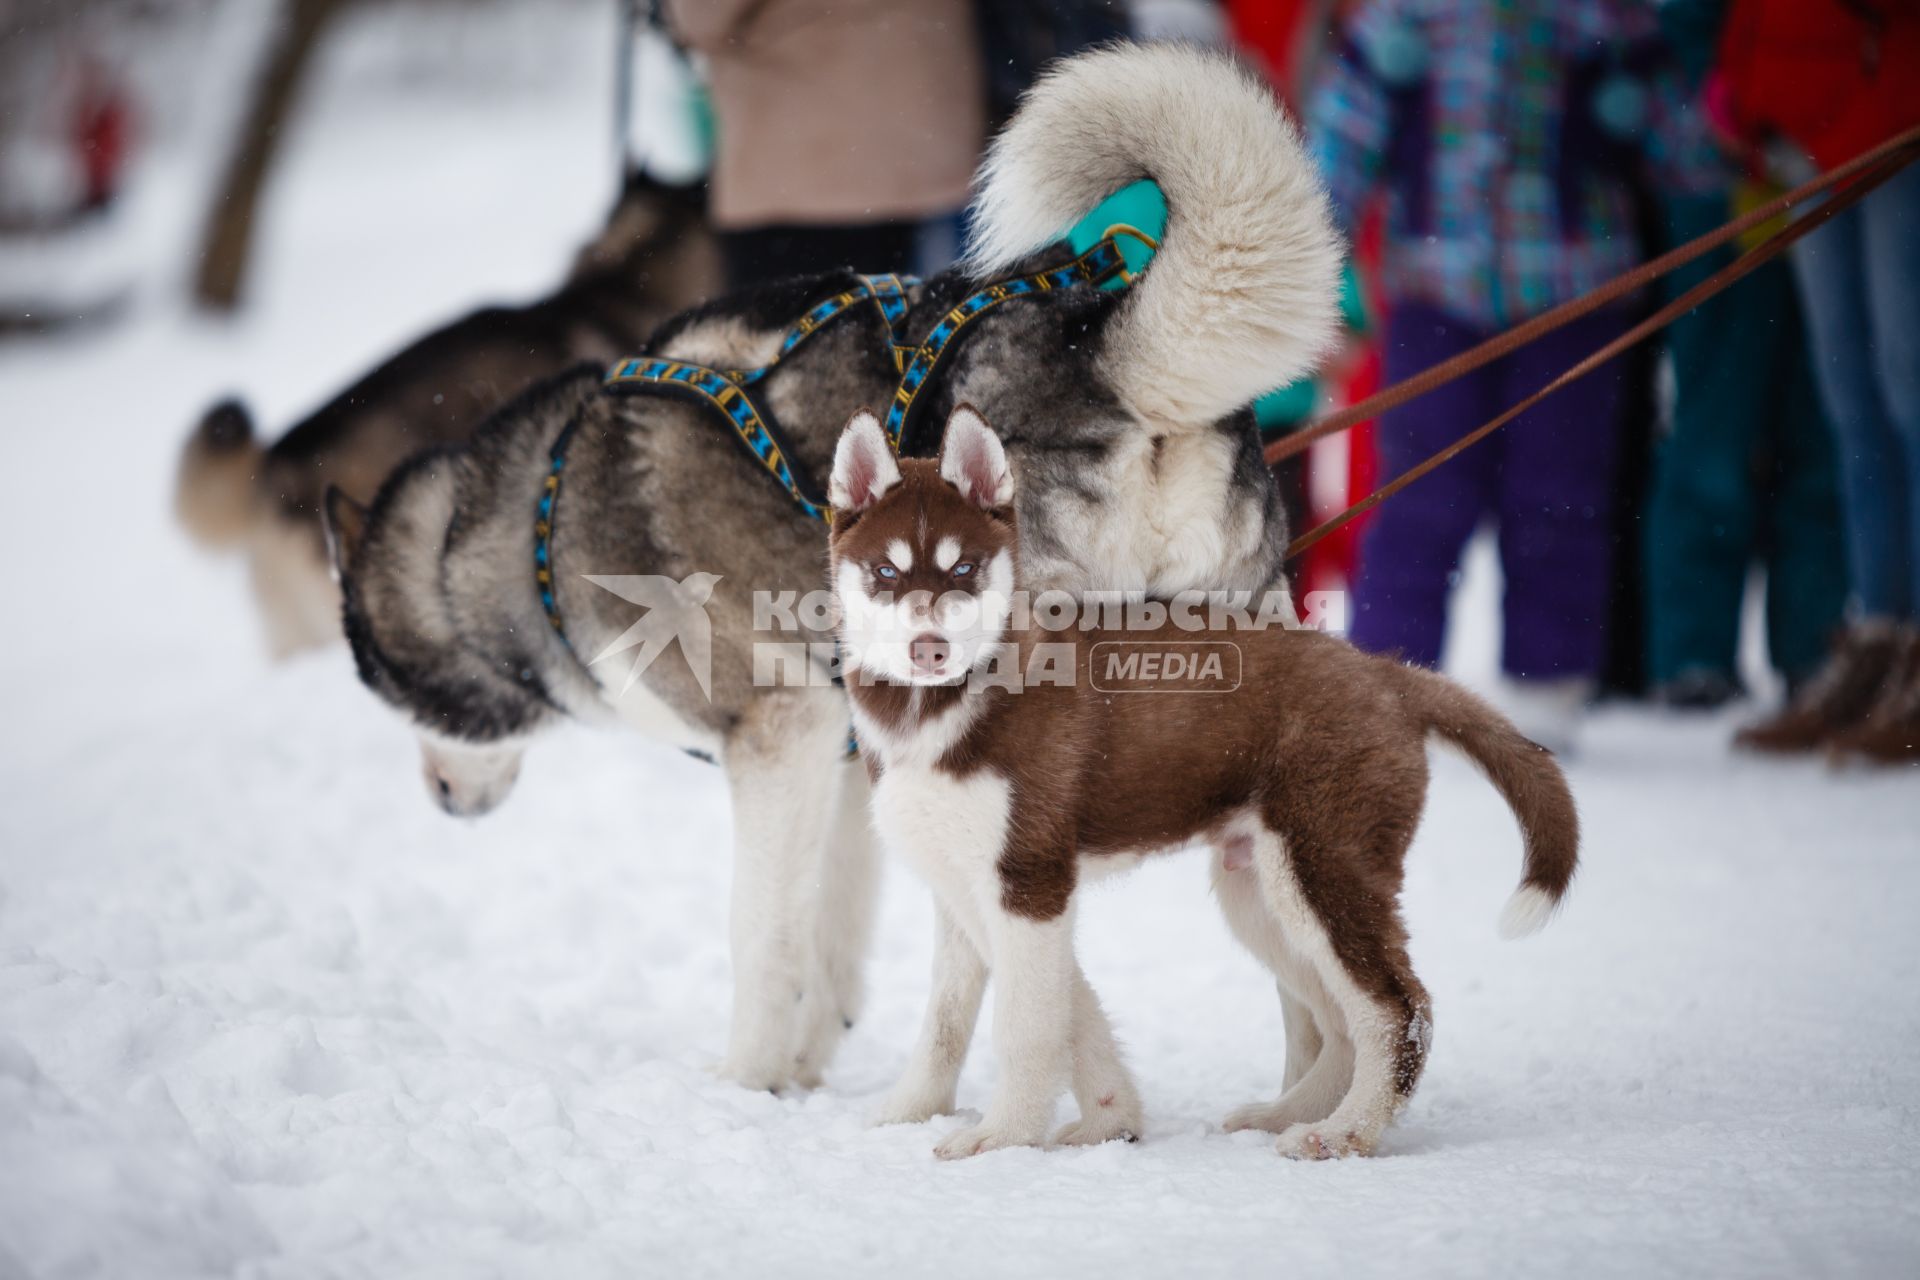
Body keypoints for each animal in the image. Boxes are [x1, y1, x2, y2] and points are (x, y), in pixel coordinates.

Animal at [322, 47, 1344, 1090]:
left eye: (391, 696)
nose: (442, 802)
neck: (539, 519)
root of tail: (1099, 347)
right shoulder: (852, 759)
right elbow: (832, 934)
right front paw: (800, 1072)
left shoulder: (780, 737)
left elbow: (763, 937)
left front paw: (742, 1083)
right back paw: (1301, 1099)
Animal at [825, 408, 1574, 1159]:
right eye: (886, 570)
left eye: (965, 569)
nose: (929, 649)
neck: (945, 707)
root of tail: (1386, 671)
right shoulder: (965, 885)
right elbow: (978, 1017)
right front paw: (1096, 1117)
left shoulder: (1029, 879)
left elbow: (1027, 1023)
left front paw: (1005, 1135)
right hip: (1262, 894)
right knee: (1338, 1019)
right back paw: (1287, 1113)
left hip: (1322, 872)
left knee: (1396, 1008)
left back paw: (1342, 1132)